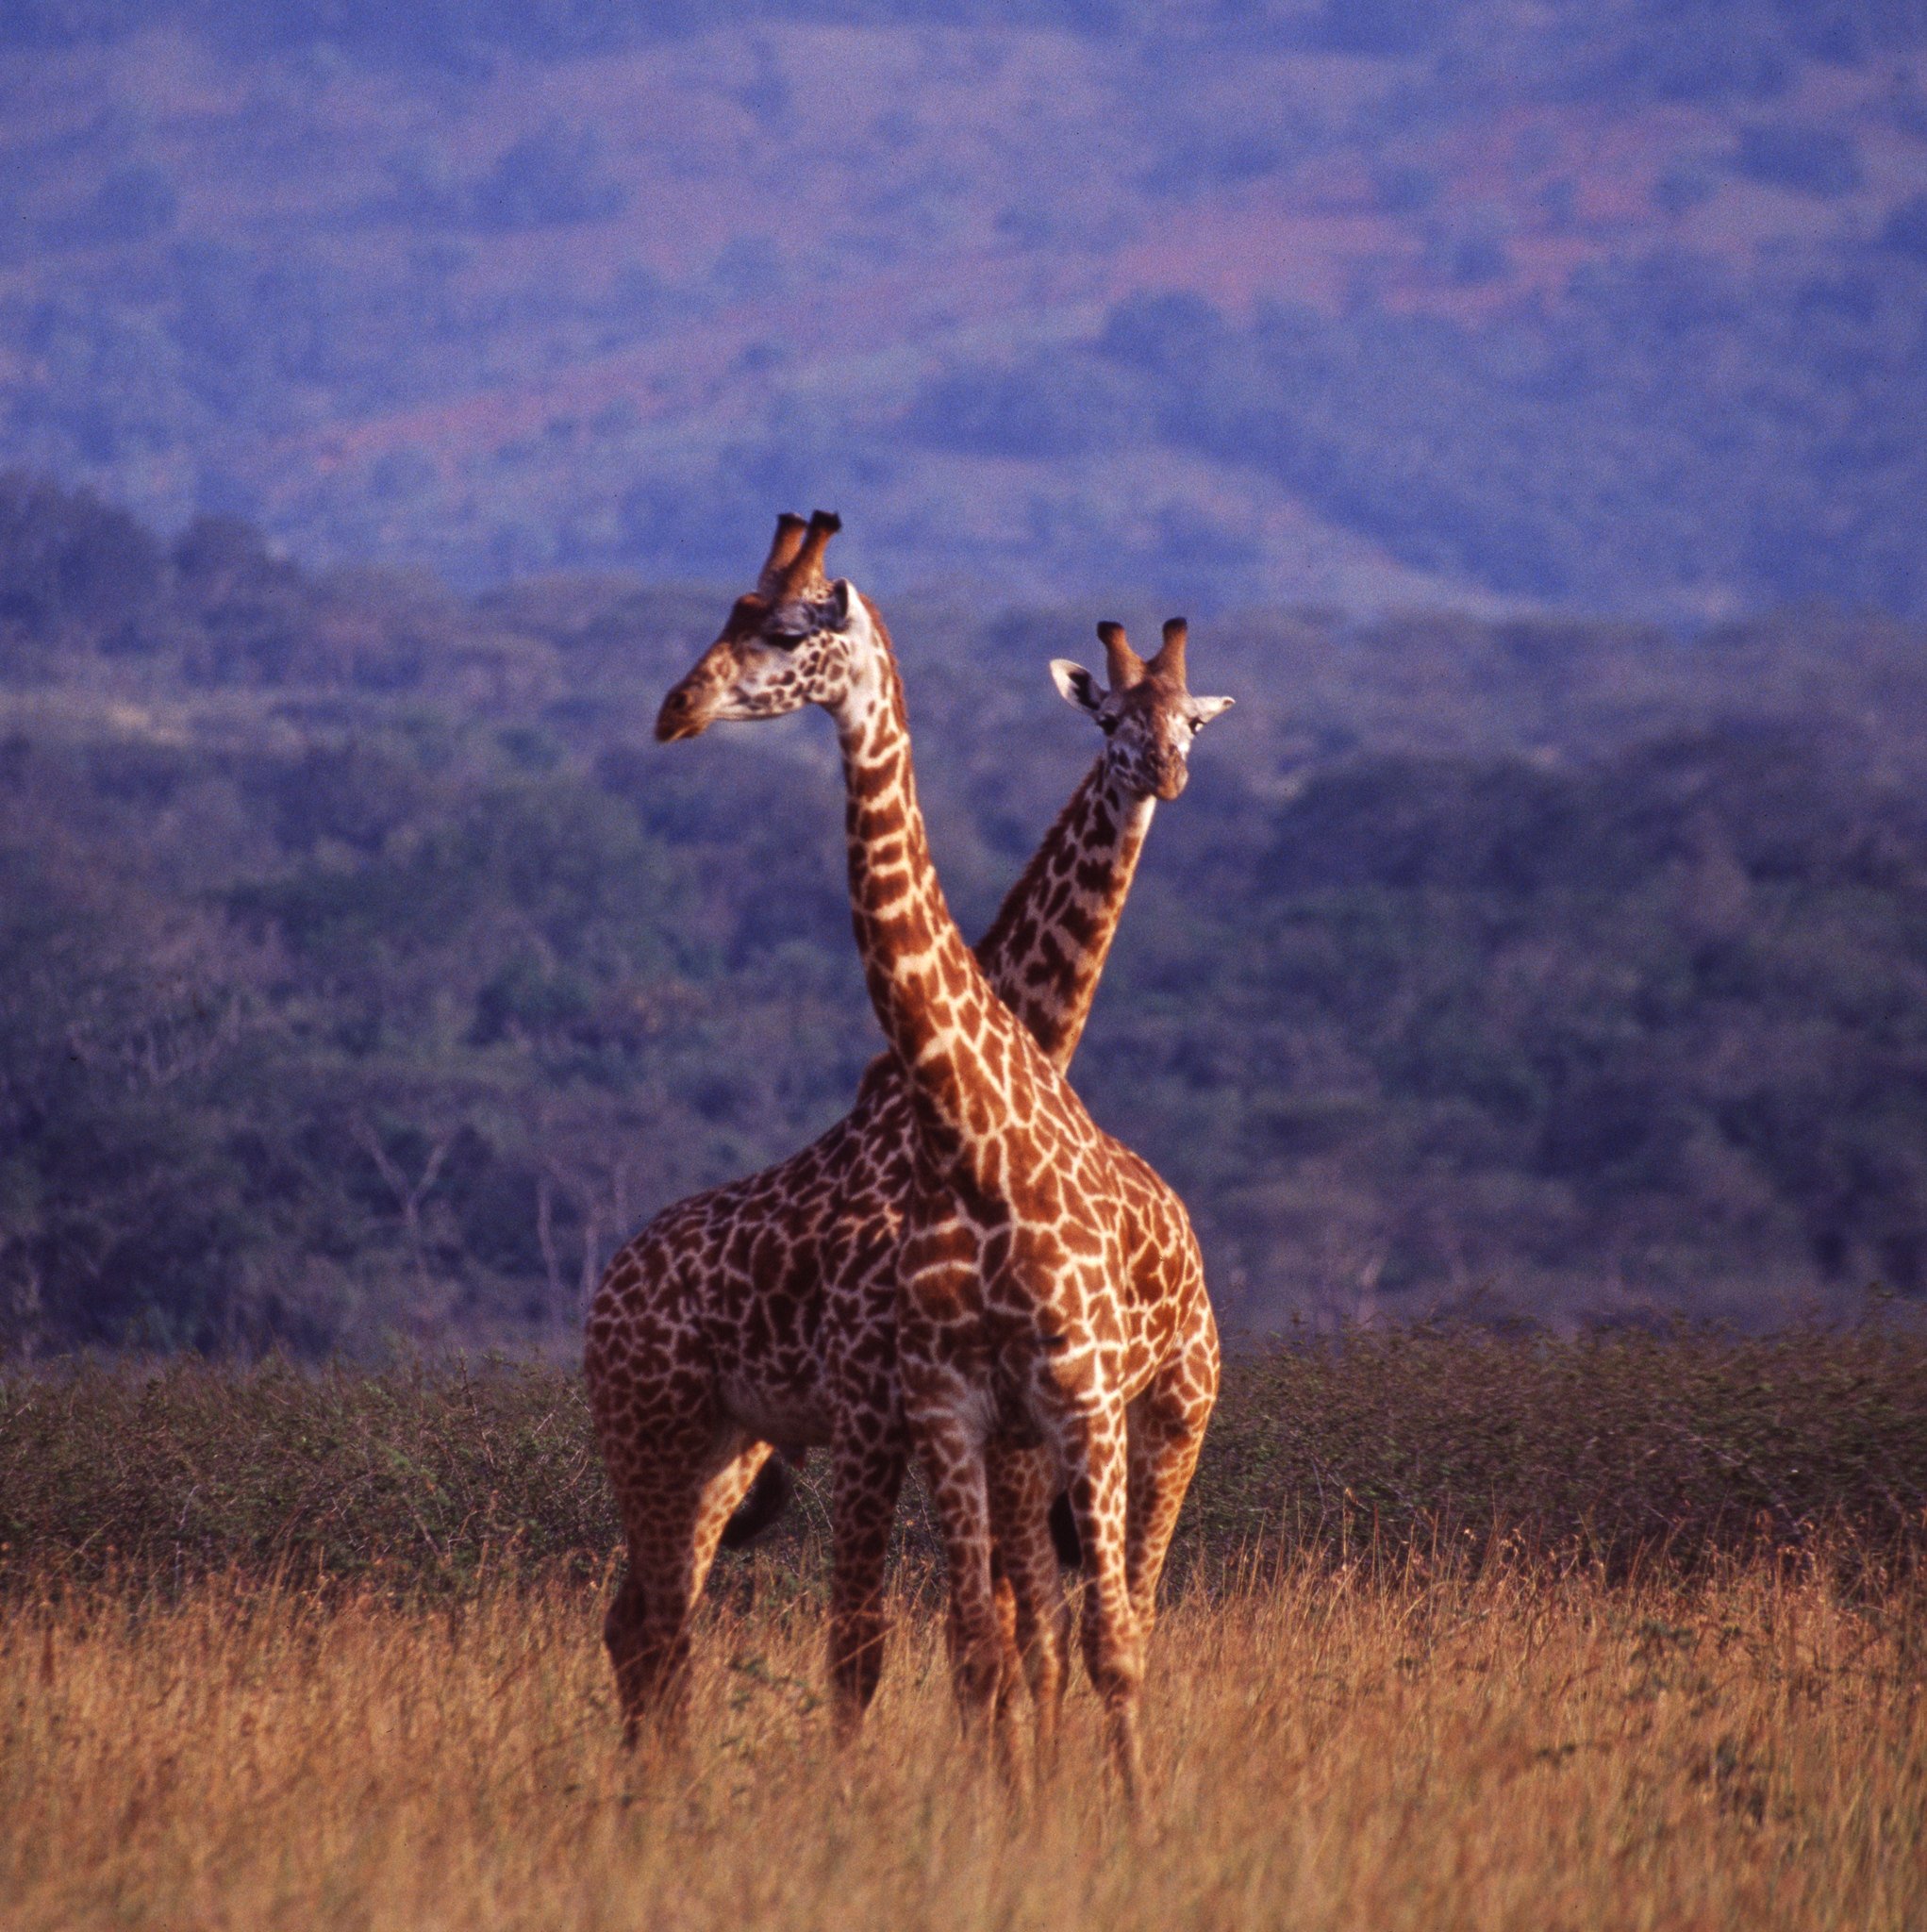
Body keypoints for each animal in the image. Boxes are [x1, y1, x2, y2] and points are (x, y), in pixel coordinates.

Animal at [583, 513, 1236, 1769]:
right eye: (1112, 724)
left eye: (788, 628)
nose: (675, 707)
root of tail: (605, 1286)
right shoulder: (893, 1412)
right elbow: (902, 1645)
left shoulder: (958, 1423)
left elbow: (997, 1639)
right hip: (660, 1431)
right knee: (652, 1623)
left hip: (755, 1444)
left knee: (651, 1618)